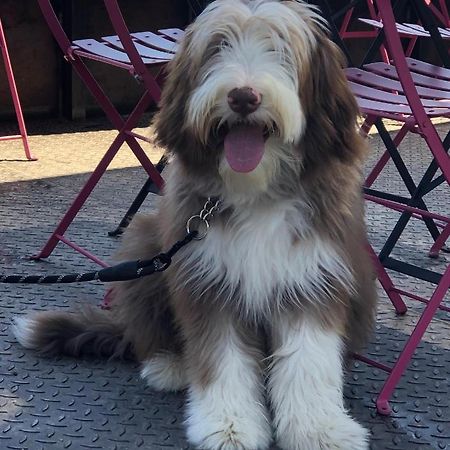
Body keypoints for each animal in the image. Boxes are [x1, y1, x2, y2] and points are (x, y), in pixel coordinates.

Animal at [13, 1, 376, 448]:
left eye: (280, 49)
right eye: (217, 48)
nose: (243, 97)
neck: (256, 190)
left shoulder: (311, 274)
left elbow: (308, 359)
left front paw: (320, 429)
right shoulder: (208, 280)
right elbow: (221, 359)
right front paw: (229, 426)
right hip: (147, 246)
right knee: (148, 333)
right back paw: (170, 365)